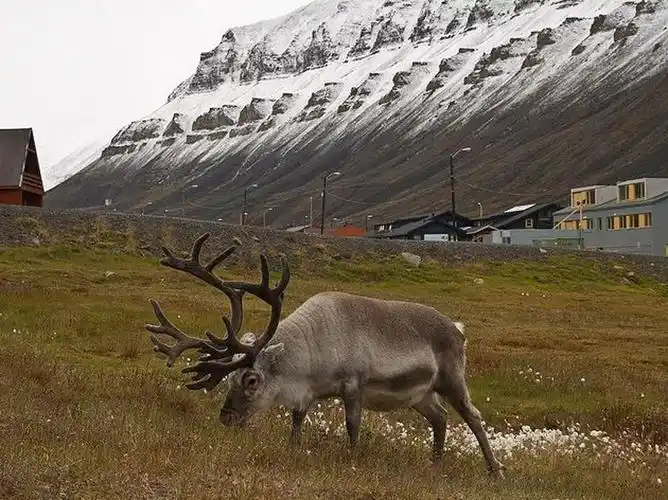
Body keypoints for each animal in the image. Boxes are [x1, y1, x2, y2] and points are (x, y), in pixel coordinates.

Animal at [143, 232, 505, 477]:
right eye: (229, 376)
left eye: (251, 379)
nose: (226, 417)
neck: (312, 349)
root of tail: (458, 329)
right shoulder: (308, 392)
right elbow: (296, 420)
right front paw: (293, 449)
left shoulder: (353, 384)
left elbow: (352, 425)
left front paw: (353, 459)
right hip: (421, 394)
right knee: (440, 418)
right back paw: (434, 464)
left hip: (451, 378)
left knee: (472, 417)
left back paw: (494, 469)